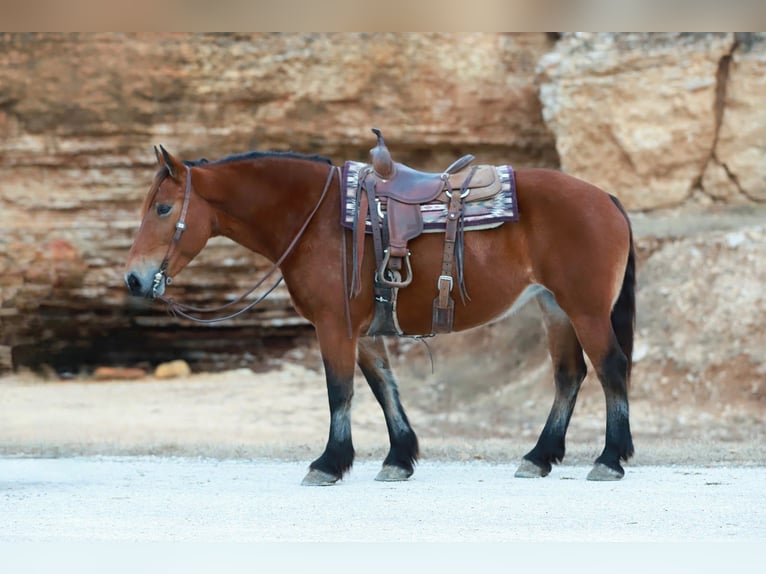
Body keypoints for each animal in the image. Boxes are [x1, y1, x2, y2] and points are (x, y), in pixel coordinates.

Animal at [124, 140, 636, 485]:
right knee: (569, 375)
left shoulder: (334, 326)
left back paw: (609, 459)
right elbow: (383, 386)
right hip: (555, 307)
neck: (318, 219)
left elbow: (340, 391)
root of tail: (606, 199)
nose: (134, 278)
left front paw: (329, 463)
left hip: (586, 309)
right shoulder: (365, 330)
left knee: (610, 368)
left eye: (164, 209)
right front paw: (398, 458)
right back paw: (539, 456)